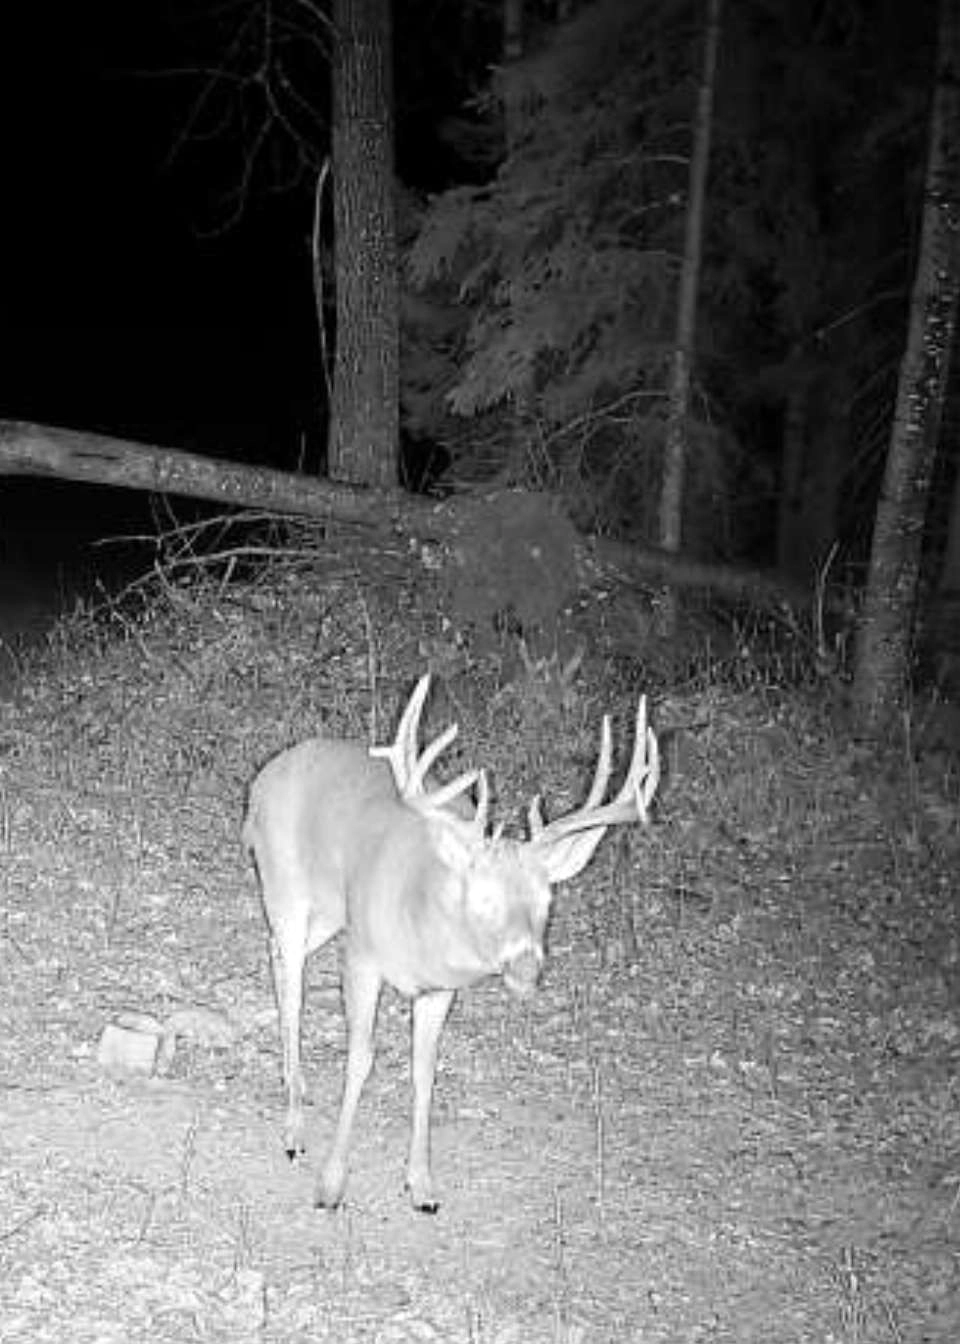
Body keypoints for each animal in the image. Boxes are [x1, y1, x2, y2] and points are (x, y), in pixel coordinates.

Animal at [242, 674, 659, 1213]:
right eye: (480, 895)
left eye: (547, 899)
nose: (526, 967)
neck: (419, 916)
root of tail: (267, 774)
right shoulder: (362, 956)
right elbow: (360, 1060)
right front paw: (331, 1185)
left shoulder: (440, 991)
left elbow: (425, 1069)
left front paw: (422, 1185)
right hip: (286, 884)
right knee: (291, 978)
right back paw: (294, 1127)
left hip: (330, 912)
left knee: (275, 954)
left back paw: (298, 1085)